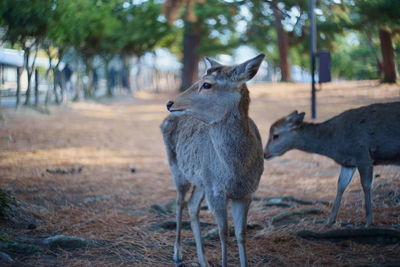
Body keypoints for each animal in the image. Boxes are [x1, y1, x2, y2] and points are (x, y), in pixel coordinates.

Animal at [159, 55, 266, 267]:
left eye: (207, 84)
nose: (169, 103)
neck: (235, 171)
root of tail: (164, 121)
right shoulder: (216, 191)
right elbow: (223, 234)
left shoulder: (247, 192)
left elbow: (241, 234)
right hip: (177, 169)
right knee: (180, 202)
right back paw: (177, 253)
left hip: (202, 181)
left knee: (192, 205)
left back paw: (203, 260)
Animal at [262, 102, 400, 228]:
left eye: (275, 135)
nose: (265, 153)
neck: (334, 144)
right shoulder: (349, 163)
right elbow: (341, 185)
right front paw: (329, 221)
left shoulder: (363, 155)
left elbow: (366, 185)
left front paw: (368, 222)